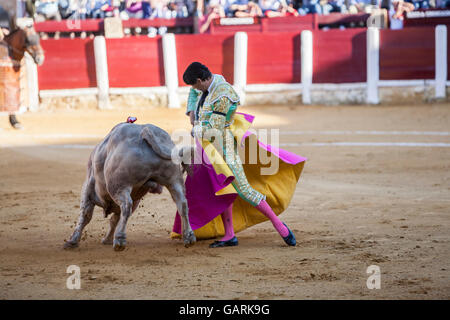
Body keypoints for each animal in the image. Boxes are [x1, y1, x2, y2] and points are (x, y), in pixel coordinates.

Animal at [63, 122, 197, 250]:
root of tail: (145, 131)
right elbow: (114, 219)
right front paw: (107, 239)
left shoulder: (87, 190)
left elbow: (85, 215)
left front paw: (72, 241)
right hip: (174, 181)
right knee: (182, 204)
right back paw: (189, 237)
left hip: (119, 187)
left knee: (126, 206)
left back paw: (120, 240)